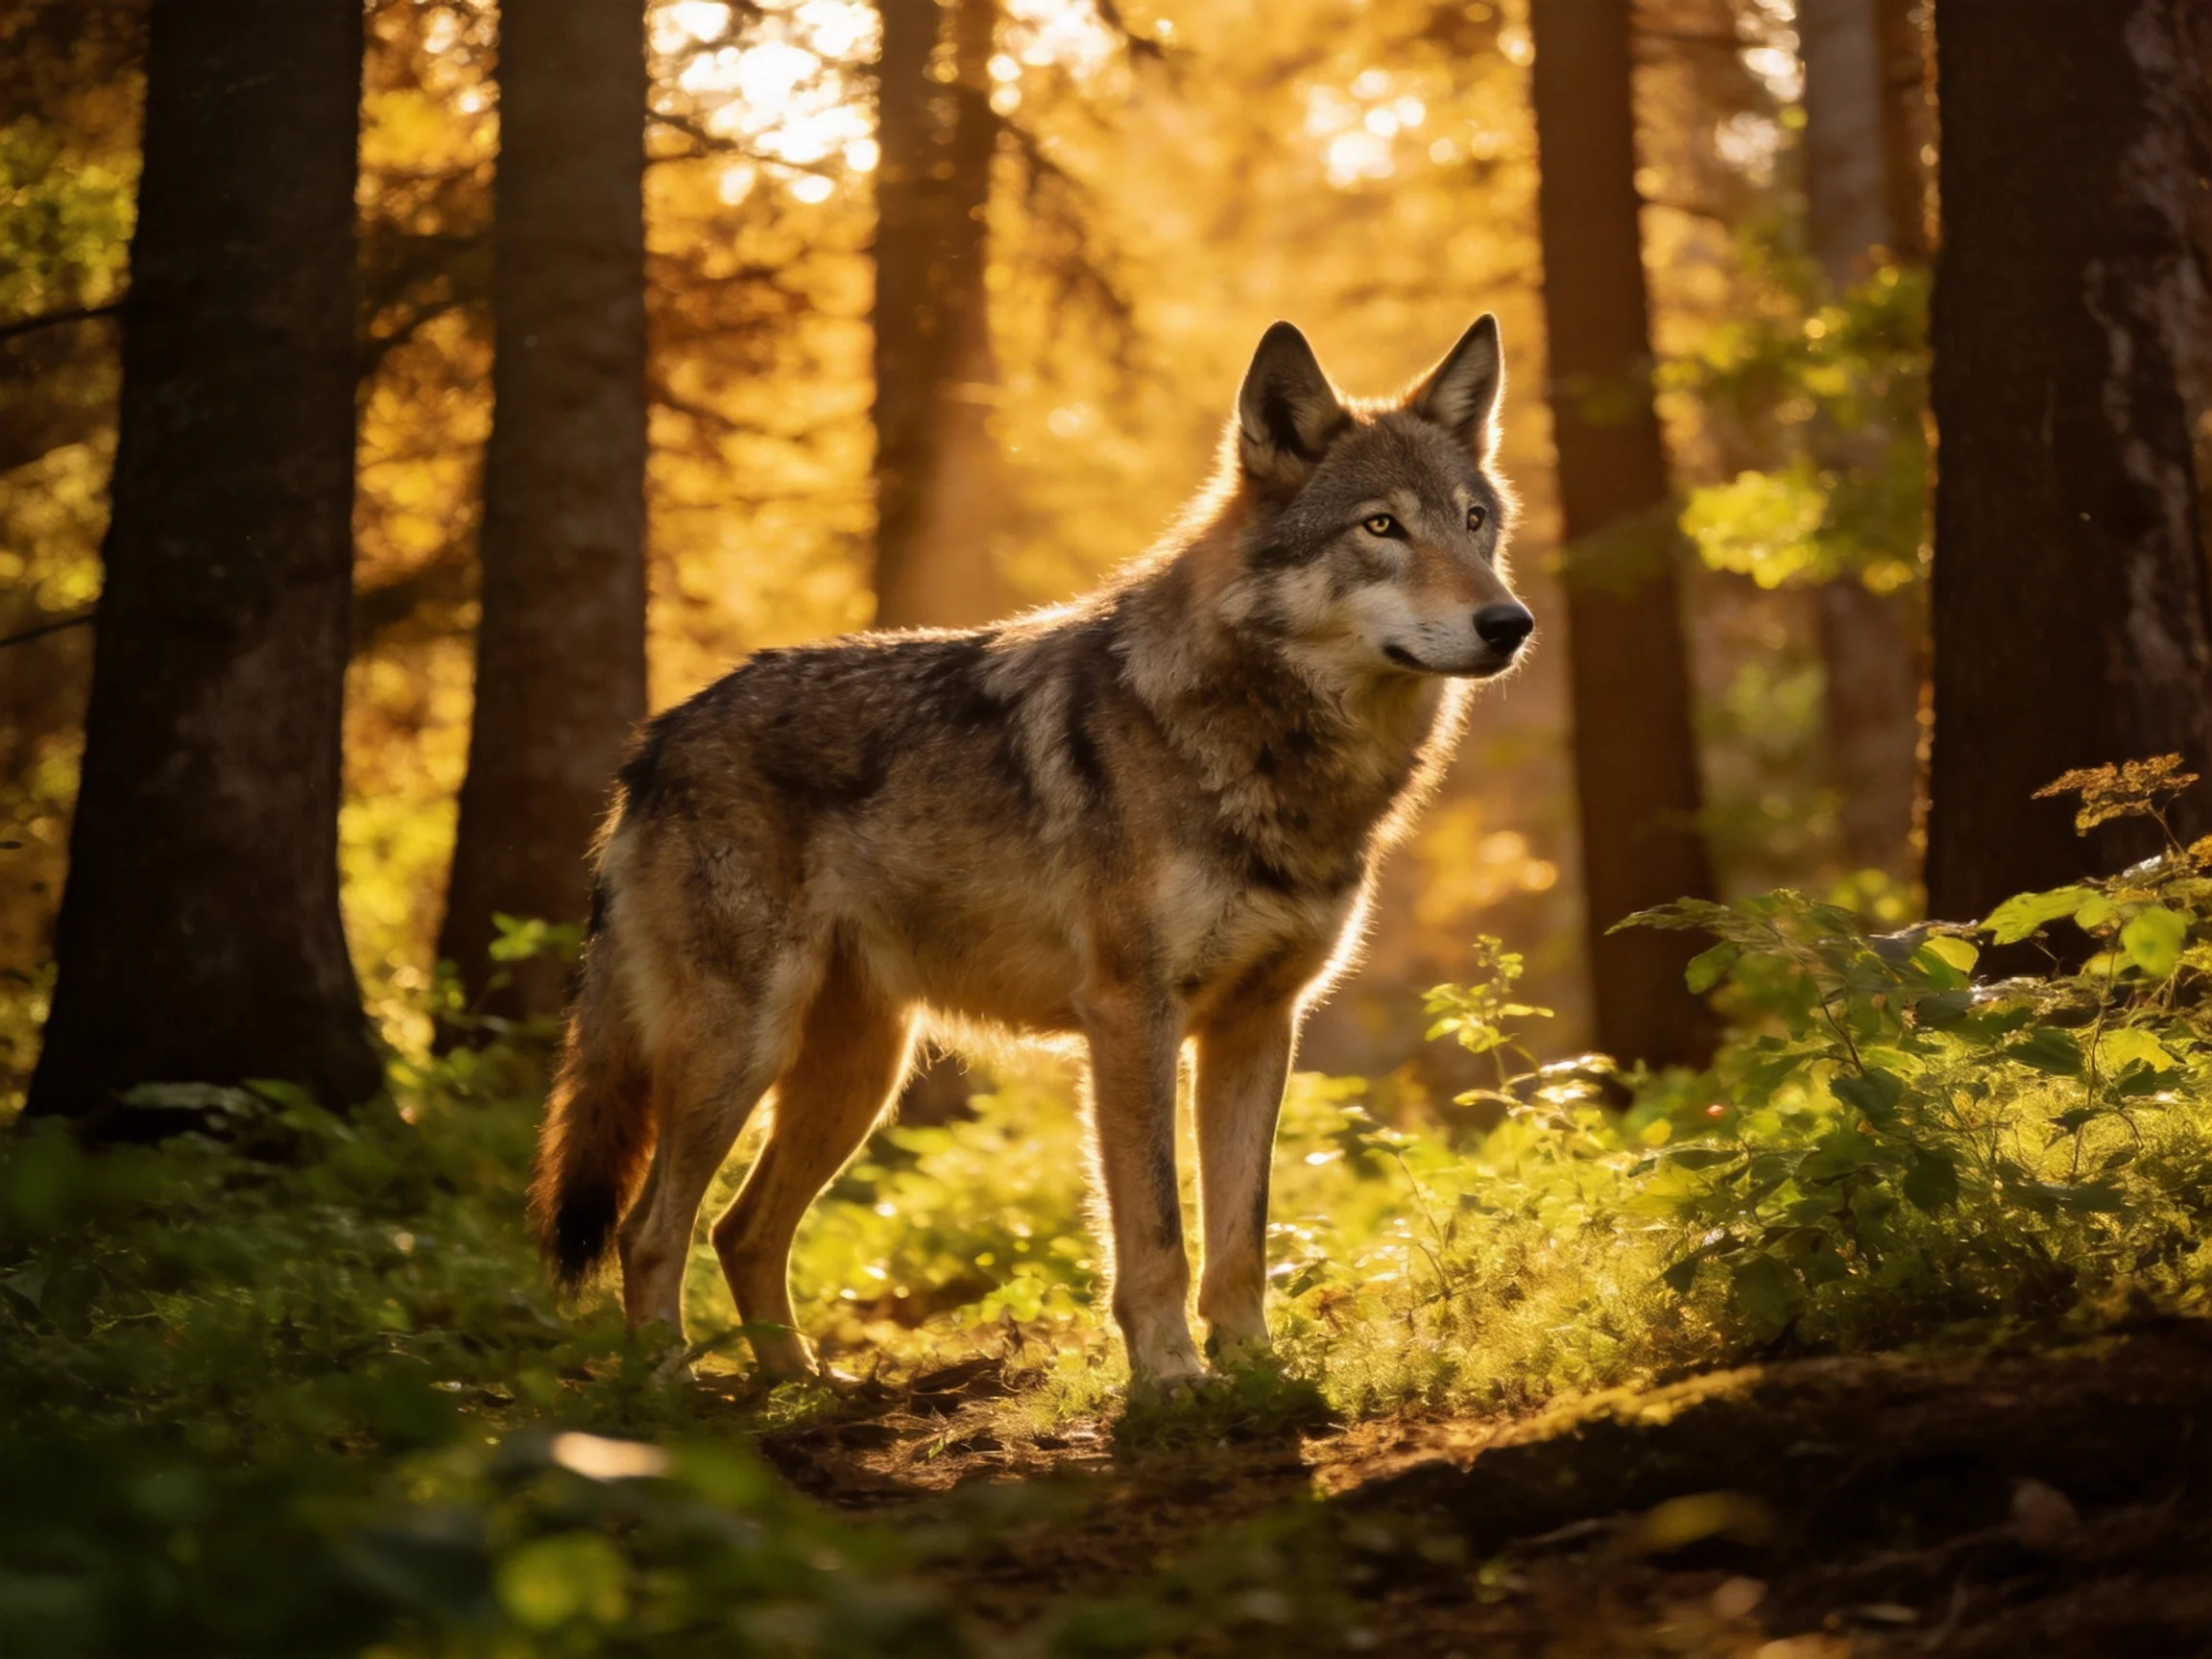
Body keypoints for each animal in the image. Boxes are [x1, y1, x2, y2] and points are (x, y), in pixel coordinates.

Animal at [532, 316, 1533, 1387]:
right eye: (1381, 528)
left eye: (1474, 521)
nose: (1510, 622)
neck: (1270, 750)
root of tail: (657, 739)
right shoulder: (1130, 1016)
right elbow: (1157, 1229)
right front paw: (1173, 1378)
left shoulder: (1259, 1025)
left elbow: (1243, 1234)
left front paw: (1257, 1372)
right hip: (741, 1051)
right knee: (650, 1229)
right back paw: (669, 1390)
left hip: (860, 1076)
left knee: (742, 1230)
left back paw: (802, 1384)